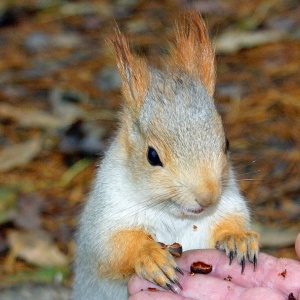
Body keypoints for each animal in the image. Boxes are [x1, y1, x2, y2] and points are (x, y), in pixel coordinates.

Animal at [71, 12, 258, 300]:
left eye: (226, 143)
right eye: (152, 156)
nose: (207, 198)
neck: (177, 217)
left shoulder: (228, 201)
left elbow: (231, 219)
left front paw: (239, 238)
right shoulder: (106, 214)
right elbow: (111, 249)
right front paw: (150, 256)